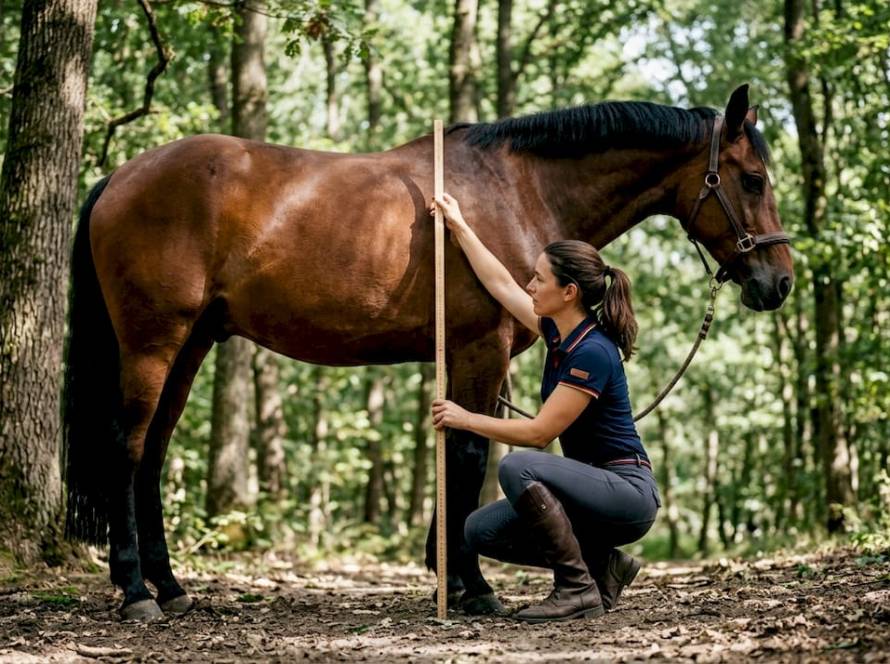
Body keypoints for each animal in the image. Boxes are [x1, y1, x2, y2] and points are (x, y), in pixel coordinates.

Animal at [62, 84, 793, 621]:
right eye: (753, 179)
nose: (779, 282)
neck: (517, 188)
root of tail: (119, 178)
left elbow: (464, 448)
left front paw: (449, 572)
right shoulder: (480, 348)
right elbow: (470, 455)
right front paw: (473, 587)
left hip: (190, 345)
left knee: (154, 452)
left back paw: (170, 587)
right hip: (154, 341)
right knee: (128, 446)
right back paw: (136, 593)